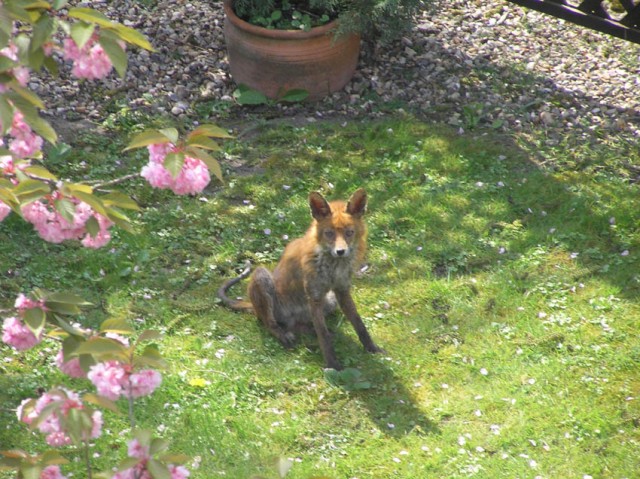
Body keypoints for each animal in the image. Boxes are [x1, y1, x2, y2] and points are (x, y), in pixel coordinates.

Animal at [218, 188, 382, 372]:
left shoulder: (341, 291)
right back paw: (284, 336)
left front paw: (372, 348)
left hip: (330, 301)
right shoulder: (314, 296)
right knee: (269, 323)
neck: (333, 268)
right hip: (262, 277)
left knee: (302, 326)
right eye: (329, 233)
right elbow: (324, 336)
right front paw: (332, 366)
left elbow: (359, 324)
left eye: (349, 232)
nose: (340, 251)